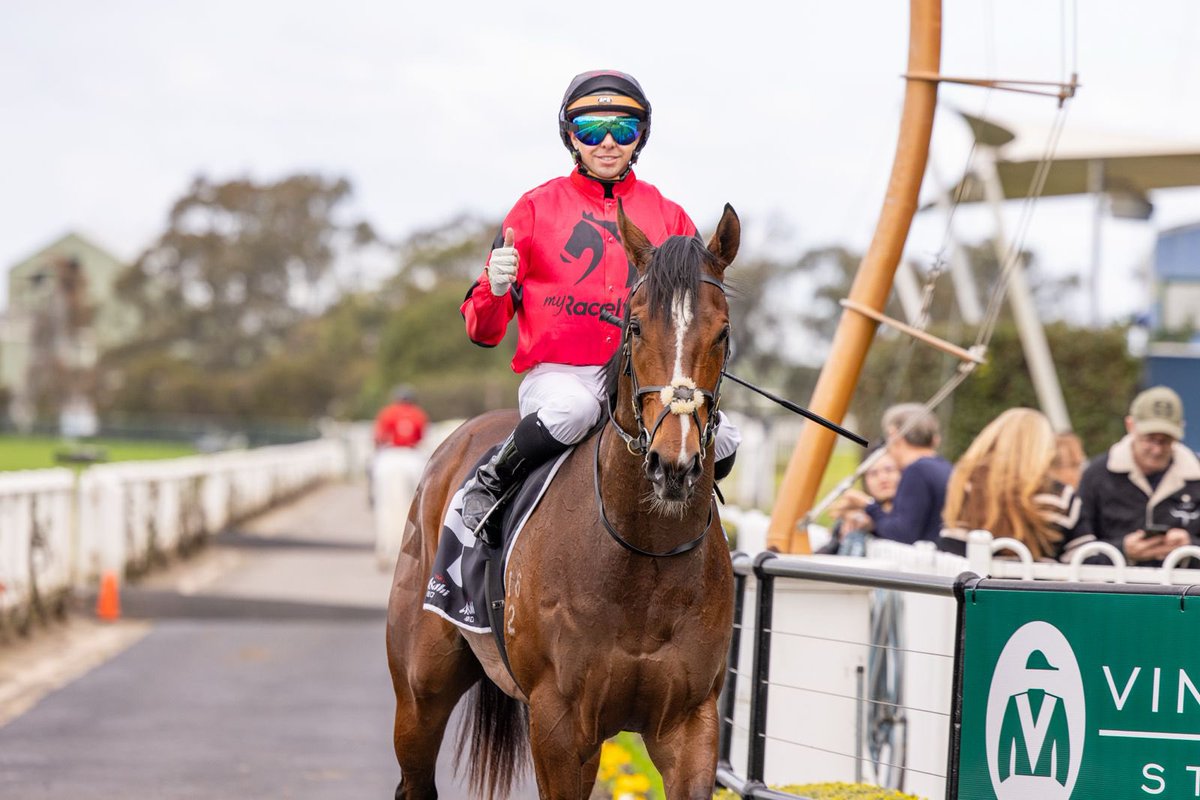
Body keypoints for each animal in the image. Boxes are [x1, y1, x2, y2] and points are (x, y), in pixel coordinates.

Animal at [386, 203, 739, 799]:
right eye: (635, 323)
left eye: (723, 330)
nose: (674, 463)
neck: (643, 557)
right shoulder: (559, 721)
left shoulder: (691, 722)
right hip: (419, 691)